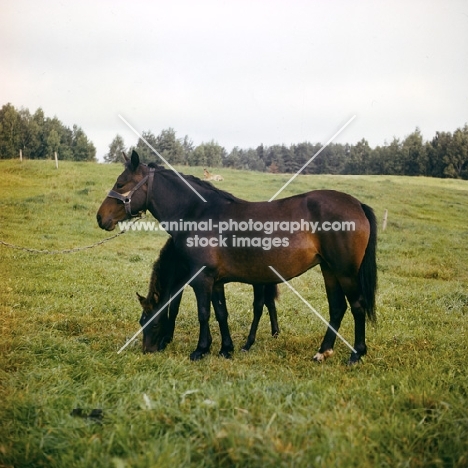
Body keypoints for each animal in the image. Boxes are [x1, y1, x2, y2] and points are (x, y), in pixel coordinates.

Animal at [137, 238, 280, 354]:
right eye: (141, 322)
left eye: (155, 325)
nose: (147, 350)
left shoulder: (195, 280)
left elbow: (181, 309)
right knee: (270, 302)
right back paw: (275, 333)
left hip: (258, 282)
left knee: (259, 306)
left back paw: (249, 344)